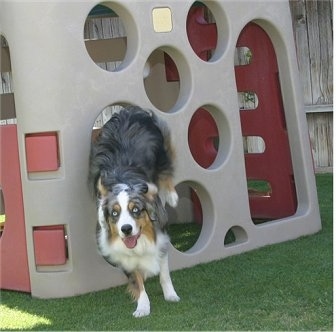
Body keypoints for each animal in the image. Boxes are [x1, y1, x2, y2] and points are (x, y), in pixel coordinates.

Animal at [88, 105, 180, 316]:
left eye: (136, 210)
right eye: (114, 214)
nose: (126, 229)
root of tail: (129, 111)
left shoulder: (162, 237)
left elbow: (164, 271)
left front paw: (171, 295)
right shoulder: (122, 255)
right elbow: (137, 281)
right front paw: (143, 307)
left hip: (161, 150)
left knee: (166, 170)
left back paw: (172, 195)